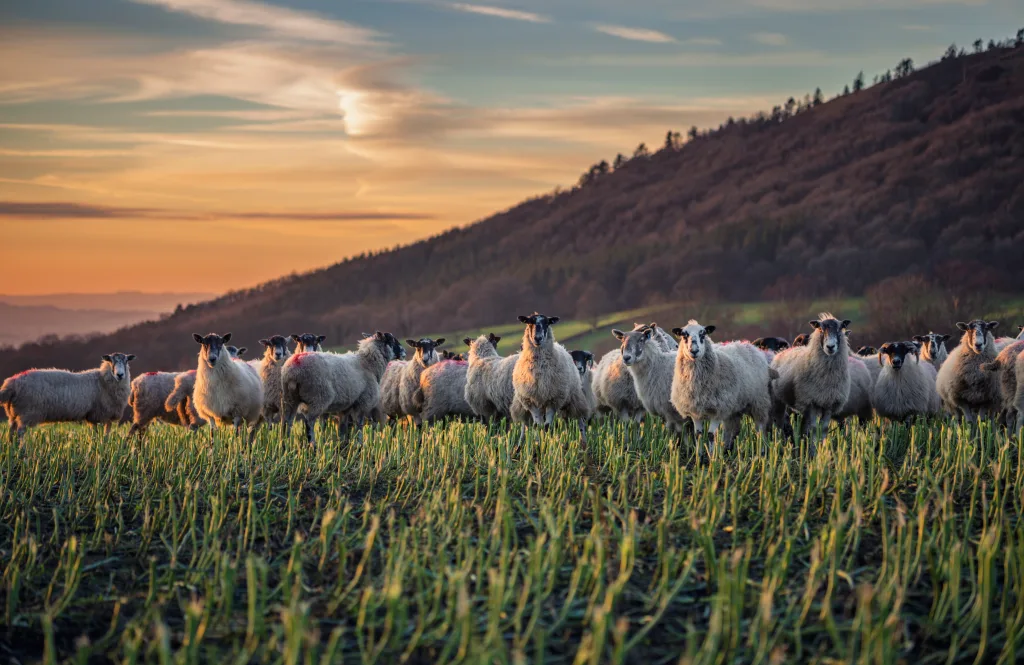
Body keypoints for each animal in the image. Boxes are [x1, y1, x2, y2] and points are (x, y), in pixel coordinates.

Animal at [0, 353, 136, 444]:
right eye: (111, 361)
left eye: (126, 361)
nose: (120, 374)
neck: (103, 381)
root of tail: (12, 383)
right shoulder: (99, 415)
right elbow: (100, 434)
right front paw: (99, 446)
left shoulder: (102, 416)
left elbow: (104, 435)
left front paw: (101, 445)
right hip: (27, 412)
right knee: (20, 432)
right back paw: (22, 451)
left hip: (14, 413)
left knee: (11, 431)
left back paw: (12, 448)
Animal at [510, 313, 589, 444]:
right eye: (529, 322)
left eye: (547, 323)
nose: (538, 338)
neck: (540, 370)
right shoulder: (531, 401)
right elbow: (537, 426)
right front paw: (538, 444)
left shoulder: (553, 400)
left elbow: (547, 426)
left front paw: (547, 444)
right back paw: (520, 445)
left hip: (574, 398)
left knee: (579, 420)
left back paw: (584, 443)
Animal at [670, 322, 774, 451]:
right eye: (684, 335)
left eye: (703, 334)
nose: (694, 350)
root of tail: (746, 344)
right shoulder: (694, 411)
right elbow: (698, 434)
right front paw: (699, 454)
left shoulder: (719, 409)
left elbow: (711, 435)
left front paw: (711, 455)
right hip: (735, 407)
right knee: (733, 428)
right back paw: (728, 448)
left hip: (759, 401)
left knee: (760, 427)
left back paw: (762, 448)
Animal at [770, 313, 852, 444]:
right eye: (821, 330)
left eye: (840, 329)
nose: (830, 347)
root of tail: (781, 352)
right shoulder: (811, 403)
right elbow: (813, 429)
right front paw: (812, 448)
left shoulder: (829, 404)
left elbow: (823, 429)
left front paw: (821, 446)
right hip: (779, 400)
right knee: (781, 422)